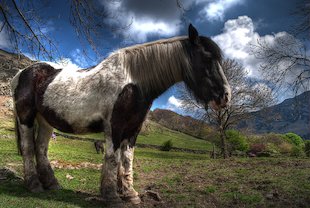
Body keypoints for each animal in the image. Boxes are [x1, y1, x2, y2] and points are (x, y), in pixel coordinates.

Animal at [10, 24, 231, 205]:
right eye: (207, 59)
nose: (225, 96)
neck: (132, 83)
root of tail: (21, 73)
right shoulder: (114, 127)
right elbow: (112, 158)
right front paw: (111, 196)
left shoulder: (133, 129)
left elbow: (127, 160)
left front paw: (130, 194)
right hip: (26, 118)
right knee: (28, 148)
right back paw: (34, 185)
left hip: (46, 122)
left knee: (41, 149)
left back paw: (52, 184)